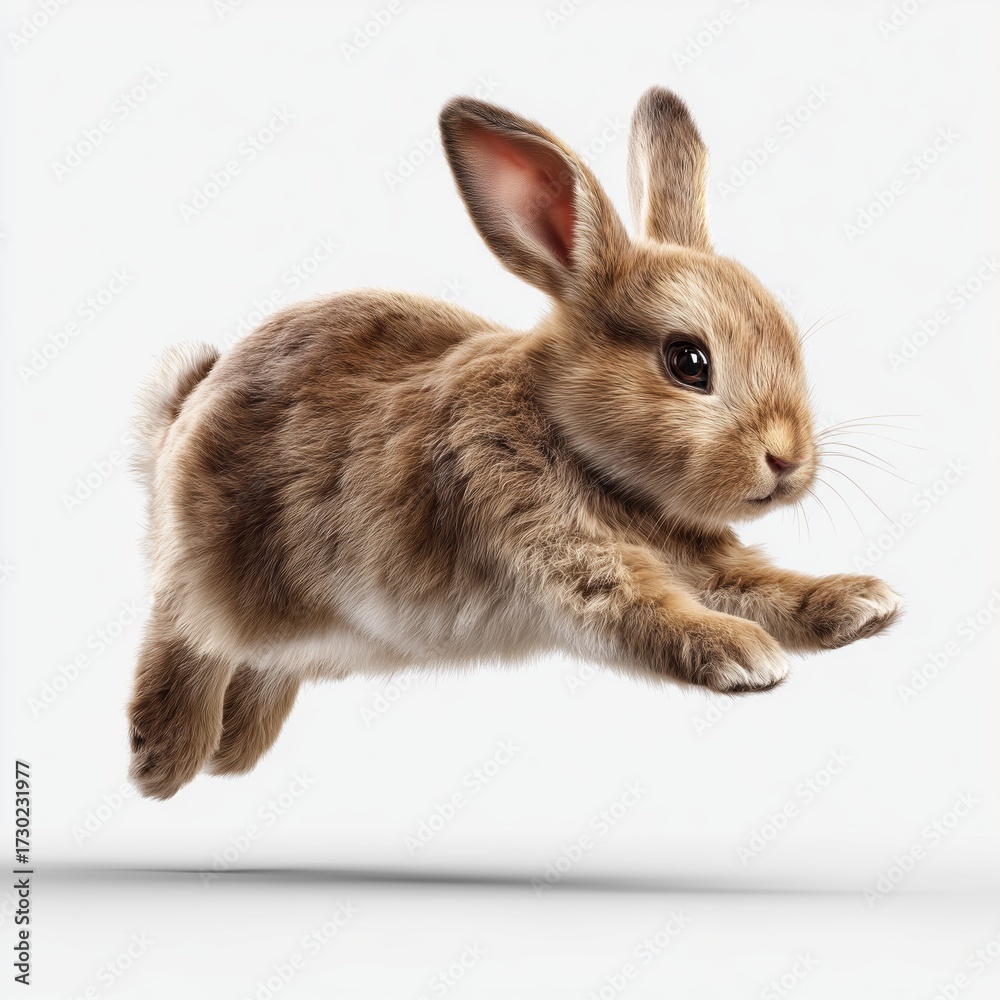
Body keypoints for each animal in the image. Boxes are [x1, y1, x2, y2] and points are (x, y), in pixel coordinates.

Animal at [127, 87, 902, 799]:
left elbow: (759, 585)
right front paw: (743, 653)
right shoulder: (541, 537)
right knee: (184, 628)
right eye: (688, 362)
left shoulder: (700, 558)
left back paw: (235, 750)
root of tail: (185, 409)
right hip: (209, 565)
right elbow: (638, 607)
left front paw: (859, 603)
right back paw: (164, 759)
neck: (580, 447)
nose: (788, 461)